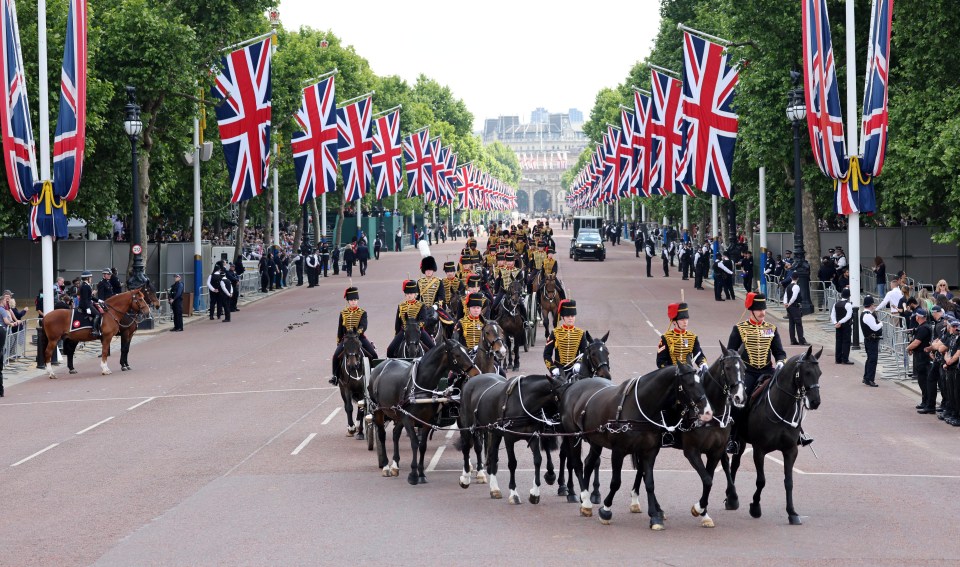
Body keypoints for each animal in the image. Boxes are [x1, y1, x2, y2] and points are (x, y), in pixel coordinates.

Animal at [372, 340, 484, 486]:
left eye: (467, 351)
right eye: (457, 354)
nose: (477, 373)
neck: (420, 386)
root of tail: (382, 365)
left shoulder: (426, 420)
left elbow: (423, 446)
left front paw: (421, 474)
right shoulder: (408, 418)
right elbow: (414, 443)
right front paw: (413, 475)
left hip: (399, 414)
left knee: (396, 433)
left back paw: (395, 465)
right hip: (379, 411)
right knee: (382, 435)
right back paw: (385, 466)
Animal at [456, 374, 564, 504]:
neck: (523, 404)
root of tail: (471, 380)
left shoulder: (533, 436)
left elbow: (538, 460)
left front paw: (535, 493)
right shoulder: (509, 438)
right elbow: (512, 463)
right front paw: (514, 494)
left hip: (494, 431)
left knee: (492, 456)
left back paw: (494, 489)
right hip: (468, 426)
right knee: (466, 447)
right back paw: (465, 477)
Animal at [564, 362, 712, 532]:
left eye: (701, 382)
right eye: (689, 383)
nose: (708, 412)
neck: (639, 407)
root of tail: (574, 386)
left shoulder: (649, 451)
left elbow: (649, 482)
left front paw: (654, 516)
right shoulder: (618, 451)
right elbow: (616, 482)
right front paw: (606, 511)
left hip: (596, 440)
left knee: (588, 463)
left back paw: (585, 502)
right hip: (573, 436)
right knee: (577, 464)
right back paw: (586, 500)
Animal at [732, 348, 820, 524]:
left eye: (819, 373)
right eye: (807, 372)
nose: (815, 402)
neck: (781, 407)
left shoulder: (791, 450)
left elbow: (789, 482)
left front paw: (792, 512)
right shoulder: (759, 450)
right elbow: (761, 480)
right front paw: (755, 507)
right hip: (738, 439)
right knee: (733, 464)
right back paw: (731, 498)